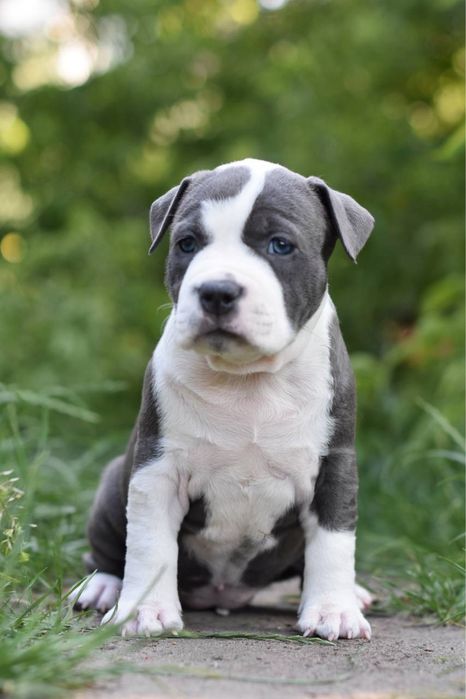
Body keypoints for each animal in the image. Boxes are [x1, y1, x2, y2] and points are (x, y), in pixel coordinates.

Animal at [71, 158, 375, 641]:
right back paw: (103, 587)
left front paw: (333, 610)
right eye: (187, 243)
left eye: (280, 245)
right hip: (111, 487)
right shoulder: (157, 470)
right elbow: (149, 546)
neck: (247, 380)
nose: (216, 290)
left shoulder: (335, 467)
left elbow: (332, 542)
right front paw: (145, 612)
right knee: (108, 551)